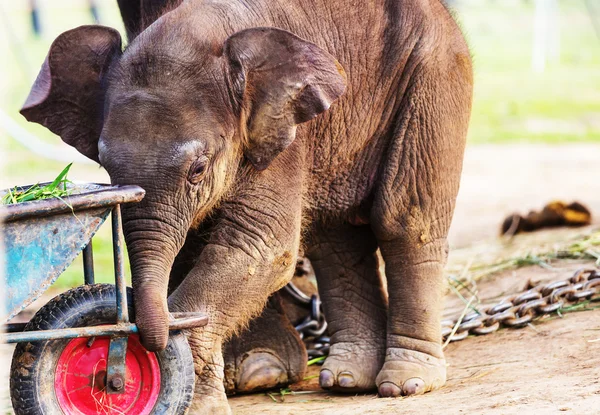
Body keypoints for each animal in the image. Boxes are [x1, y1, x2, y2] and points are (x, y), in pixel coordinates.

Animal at [21, 0, 474, 412]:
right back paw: (345, 379)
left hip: (433, 73)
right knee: (335, 235)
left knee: (403, 219)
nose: (119, 372)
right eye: (106, 167)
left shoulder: (280, 135)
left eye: (198, 169)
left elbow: (260, 246)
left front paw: (196, 400)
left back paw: (405, 383)